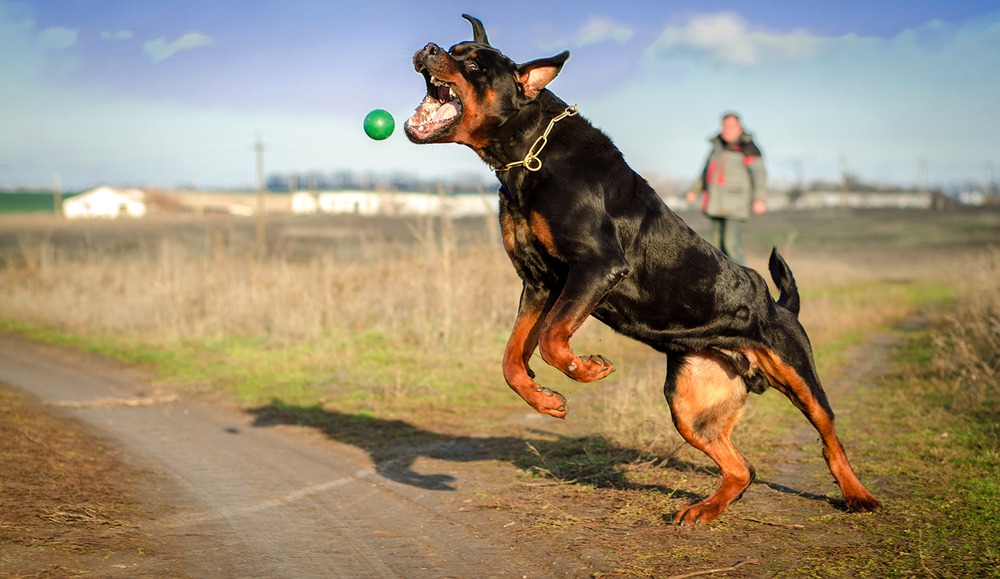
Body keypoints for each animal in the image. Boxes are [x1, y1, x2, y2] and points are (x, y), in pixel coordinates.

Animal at [402, 14, 880, 524]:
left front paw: (588, 369)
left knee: (829, 438)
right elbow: (513, 360)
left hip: (797, 372)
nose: (428, 48)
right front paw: (547, 400)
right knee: (742, 468)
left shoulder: (597, 266)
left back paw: (858, 495)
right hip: (690, 405)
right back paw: (704, 510)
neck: (528, 154)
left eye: (473, 62)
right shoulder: (539, 283)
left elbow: (551, 340)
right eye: (453, 48)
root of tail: (778, 306)